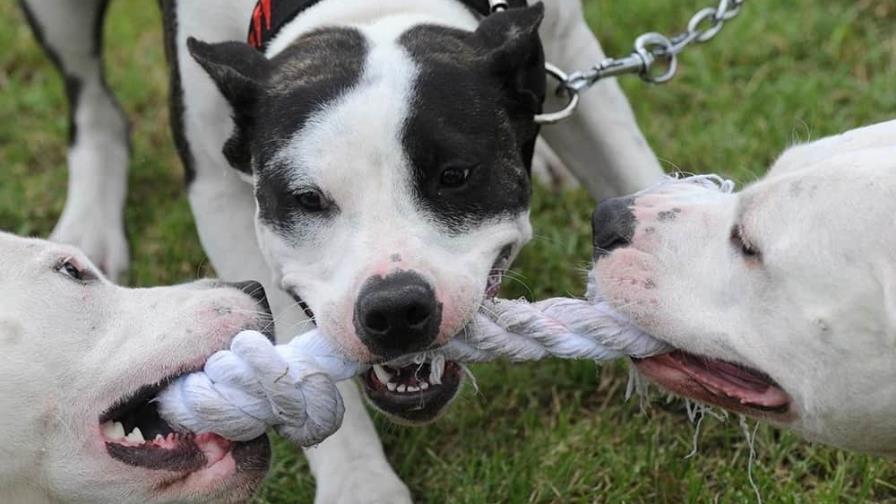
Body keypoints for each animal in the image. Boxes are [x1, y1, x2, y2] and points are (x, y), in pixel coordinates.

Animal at [21, 0, 660, 500]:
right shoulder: (217, 187)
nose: (396, 308)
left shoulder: (573, 57)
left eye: (455, 175)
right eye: (306, 199)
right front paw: (360, 484)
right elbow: (279, 346)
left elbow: (637, 173)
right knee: (92, 103)